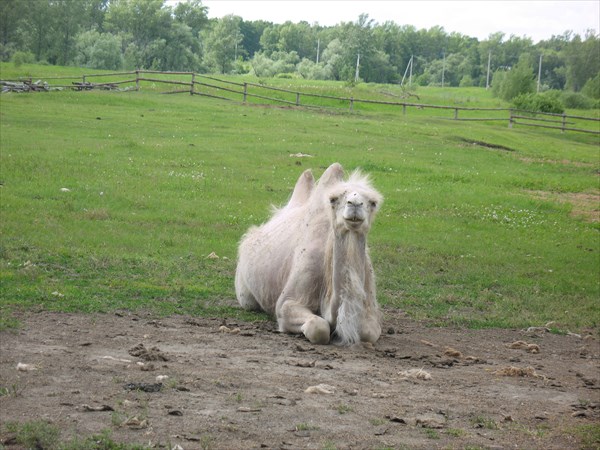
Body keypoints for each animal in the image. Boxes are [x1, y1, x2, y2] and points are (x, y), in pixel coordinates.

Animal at [236, 163, 384, 344]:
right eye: (333, 199)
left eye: (373, 202)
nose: (354, 204)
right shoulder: (287, 302)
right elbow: (318, 327)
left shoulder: (370, 306)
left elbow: (368, 332)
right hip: (244, 293)